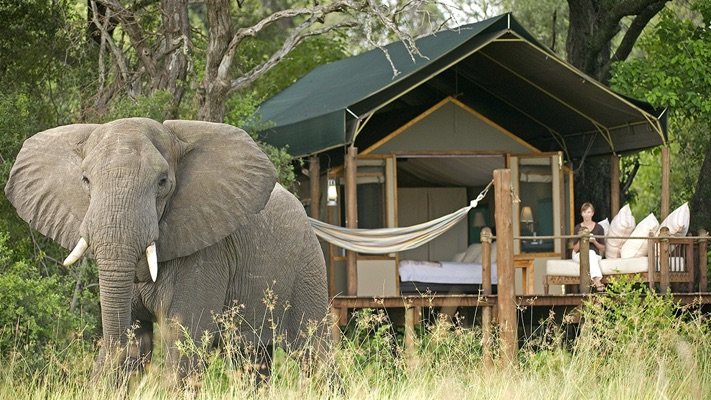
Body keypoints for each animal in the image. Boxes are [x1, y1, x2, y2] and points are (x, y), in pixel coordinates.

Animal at [3, 118, 330, 382]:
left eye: (163, 182)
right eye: (85, 180)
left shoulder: (206, 256)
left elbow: (183, 341)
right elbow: (136, 341)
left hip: (308, 267)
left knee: (313, 352)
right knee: (251, 359)